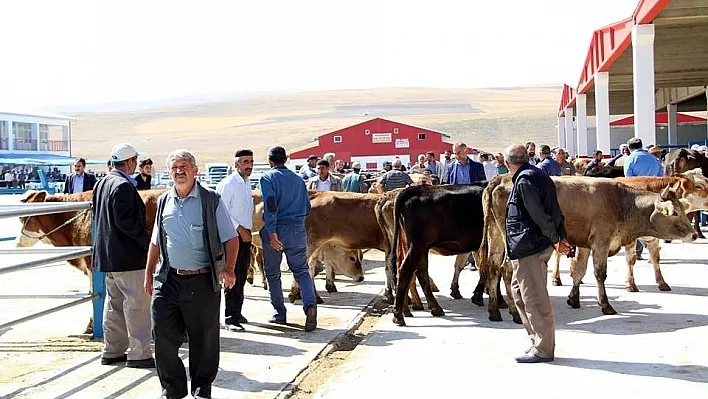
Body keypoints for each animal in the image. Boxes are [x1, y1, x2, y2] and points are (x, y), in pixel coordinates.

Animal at [390, 183, 490, 326]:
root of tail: (417, 188)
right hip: (417, 245)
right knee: (405, 270)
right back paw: (399, 314)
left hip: (417, 246)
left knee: (419, 272)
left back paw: (430, 308)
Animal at [552, 170, 708, 292]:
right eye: (698, 186)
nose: (694, 234)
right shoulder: (629, 240)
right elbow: (631, 260)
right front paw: (631, 284)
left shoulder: (652, 238)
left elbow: (655, 258)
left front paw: (662, 283)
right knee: (558, 255)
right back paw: (556, 278)